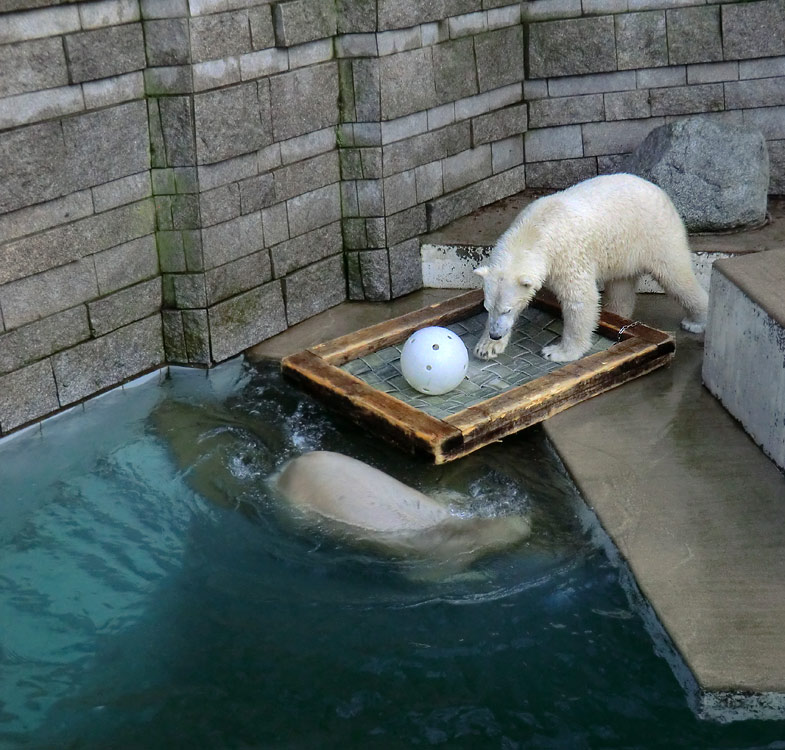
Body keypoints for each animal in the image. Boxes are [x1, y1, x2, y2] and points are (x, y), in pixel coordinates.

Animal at [472, 176, 712, 364]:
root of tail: (659, 190)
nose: (495, 334)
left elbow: (580, 299)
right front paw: (486, 347)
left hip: (656, 233)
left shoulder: (567, 255)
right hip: (624, 249)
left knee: (676, 276)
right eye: (487, 308)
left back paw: (696, 321)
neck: (534, 230)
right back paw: (616, 314)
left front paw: (557, 352)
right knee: (621, 286)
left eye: (507, 310)